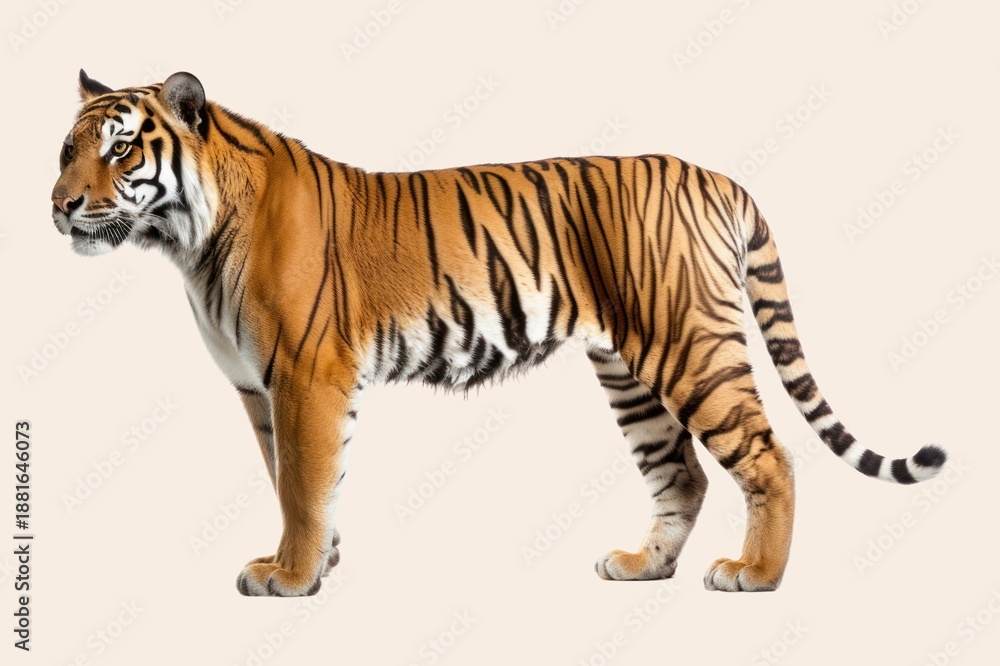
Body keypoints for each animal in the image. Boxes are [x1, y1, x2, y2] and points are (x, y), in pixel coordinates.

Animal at [51, 70, 948, 596]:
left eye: (121, 148)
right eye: (66, 149)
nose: (60, 205)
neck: (186, 240)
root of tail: (715, 175)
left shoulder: (306, 374)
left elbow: (304, 485)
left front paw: (295, 577)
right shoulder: (258, 387)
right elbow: (291, 482)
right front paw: (310, 561)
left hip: (691, 345)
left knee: (767, 457)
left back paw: (755, 575)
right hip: (629, 371)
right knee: (683, 476)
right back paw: (642, 567)